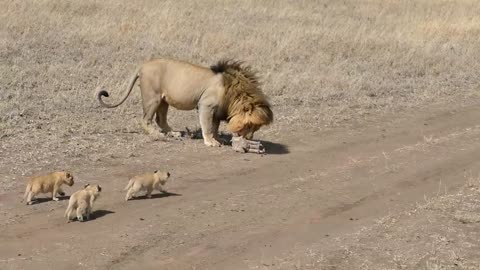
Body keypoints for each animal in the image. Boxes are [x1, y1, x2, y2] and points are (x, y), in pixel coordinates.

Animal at [96, 59, 274, 148]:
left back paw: (173, 133)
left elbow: (215, 126)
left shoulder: (217, 111)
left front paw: (218, 139)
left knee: (160, 119)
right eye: (250, 126)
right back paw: (157, 134)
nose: (249, 139)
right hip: (153, 97)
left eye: (255, 128)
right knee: (146, 120)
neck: (234, 93)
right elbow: (207, 126)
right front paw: (211, 142)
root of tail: (142, 65)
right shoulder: (205, 105)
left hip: (163, 100)